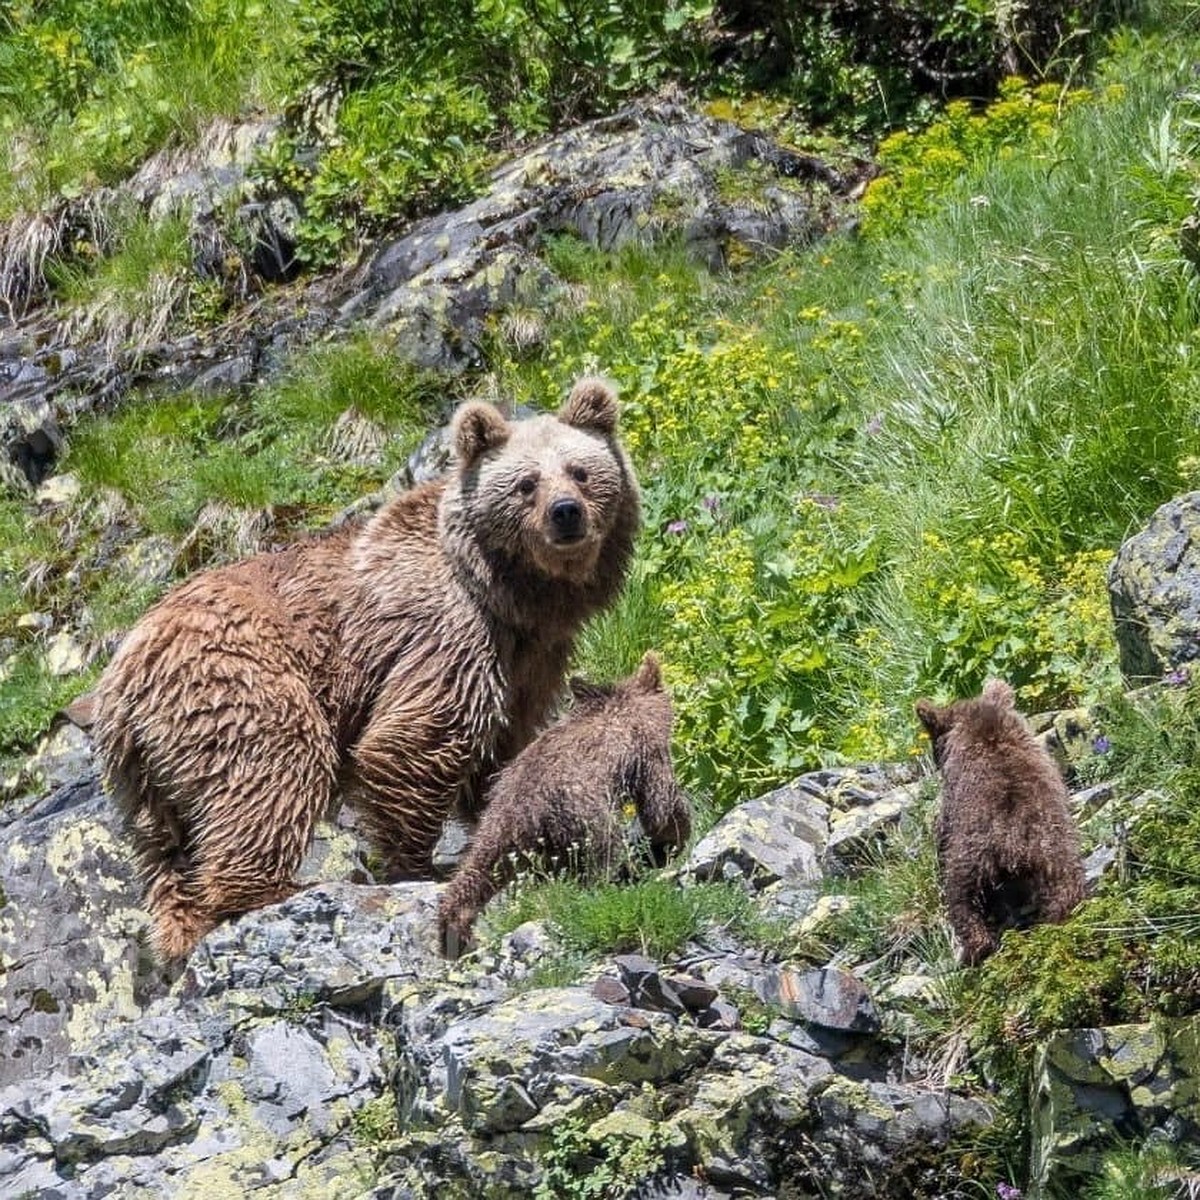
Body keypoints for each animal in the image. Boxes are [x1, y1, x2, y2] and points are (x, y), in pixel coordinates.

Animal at [92, 379, 643, 960]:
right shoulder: (445, 631)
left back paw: (181, 925)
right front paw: (418, 865)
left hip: (145, 774)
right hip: (238, 683)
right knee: (274, 768)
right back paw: (269, 888)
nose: (566, 513)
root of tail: (121, 680)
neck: (512, 593)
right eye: (526, 483)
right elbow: (420, 737)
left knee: (165, 847)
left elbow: (505, 745)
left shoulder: (532, 659)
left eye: (581, 471)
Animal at [436, 648, 691, 955]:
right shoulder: (646, 749)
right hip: (580, 818)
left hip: (509, 834)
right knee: (603, 851)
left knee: (482, 872)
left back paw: (453, 930)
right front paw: (677, 833)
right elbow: (660, 803)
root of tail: (515, 819)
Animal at [916, 676, 1089, 964]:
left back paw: (973, 950)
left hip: (970, 859)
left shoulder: (951, 801)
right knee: (1065, 889)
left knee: (962, 900)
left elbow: (941, 829)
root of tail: (1014, 846)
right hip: (1056, 853)